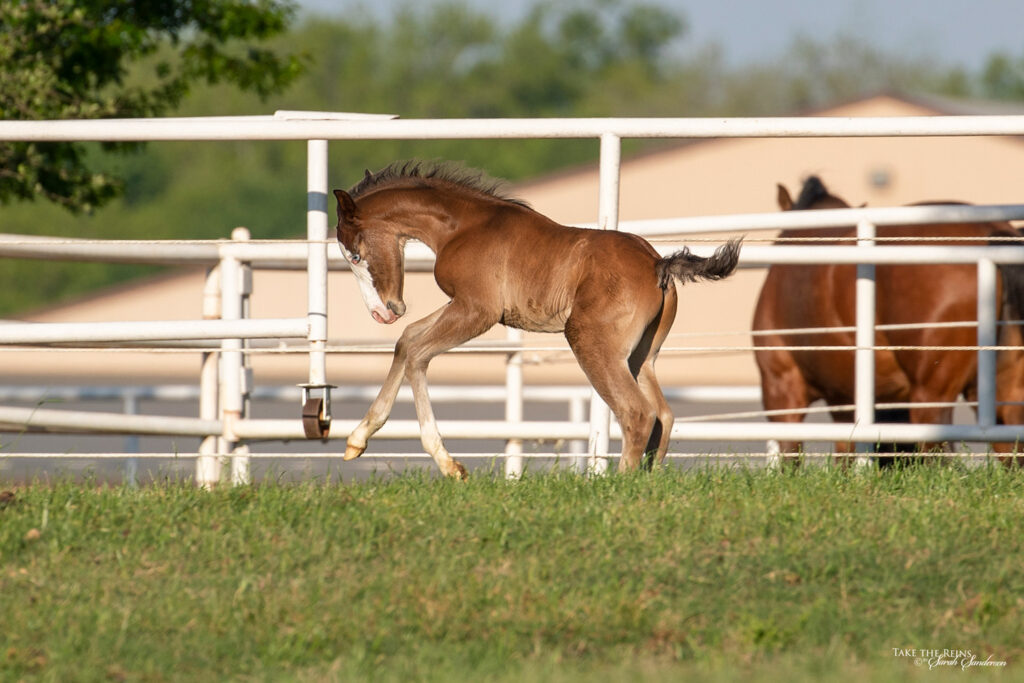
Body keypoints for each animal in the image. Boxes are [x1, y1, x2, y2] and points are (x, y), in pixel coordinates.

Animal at [332, 161, 741, 478]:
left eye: (354, 255)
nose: (383, 311)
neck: (463, 226)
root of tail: (657, 262)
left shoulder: (478, 310)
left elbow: (418, 353)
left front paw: (450, 465)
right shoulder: (461, 304)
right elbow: (407, 340)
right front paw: (356, 440)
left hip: (590, 342)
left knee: (637, 413)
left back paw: (616, 487)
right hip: (642, 355)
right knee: (663, 415)